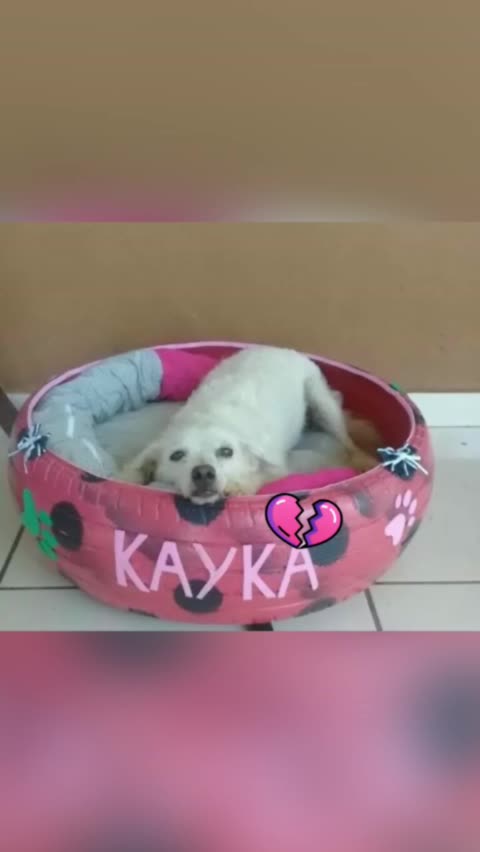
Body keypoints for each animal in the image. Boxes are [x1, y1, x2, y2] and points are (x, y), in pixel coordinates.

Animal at [118, 346, 377, 503]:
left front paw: (240, 485)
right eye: (177, 455)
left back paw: (363, 460)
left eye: (226, 452)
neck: (207, 418)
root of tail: (278, 349)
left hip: (320, 399)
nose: (203, 473)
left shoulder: (278, 468)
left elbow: (260, 475)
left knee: (347, 440)